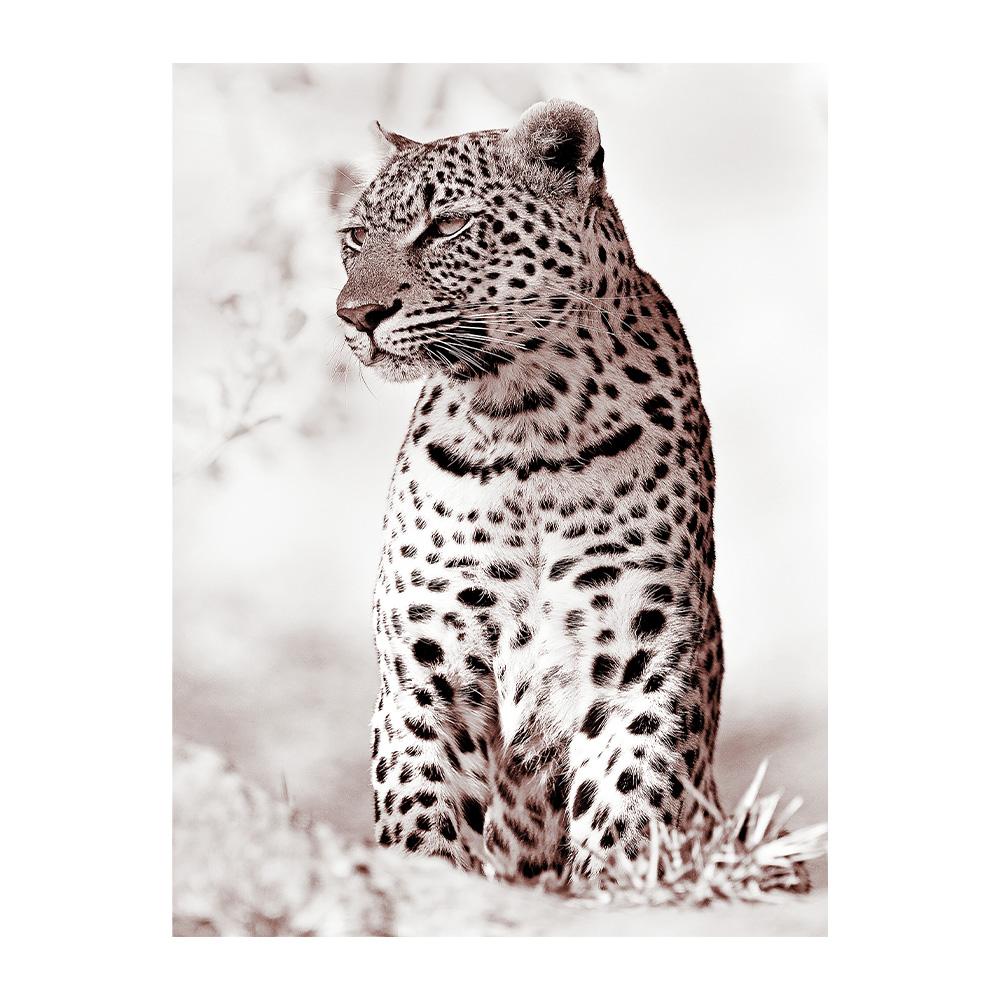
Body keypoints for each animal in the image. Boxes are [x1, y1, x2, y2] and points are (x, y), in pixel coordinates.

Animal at [335, 99, 724, 886]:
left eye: (448, 225)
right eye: (355, 238)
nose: (354, 314)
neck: (525, 422)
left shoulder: (639, 660)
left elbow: (630, 801)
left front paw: (621, 889)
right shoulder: (427, 670)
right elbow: (423, 810)